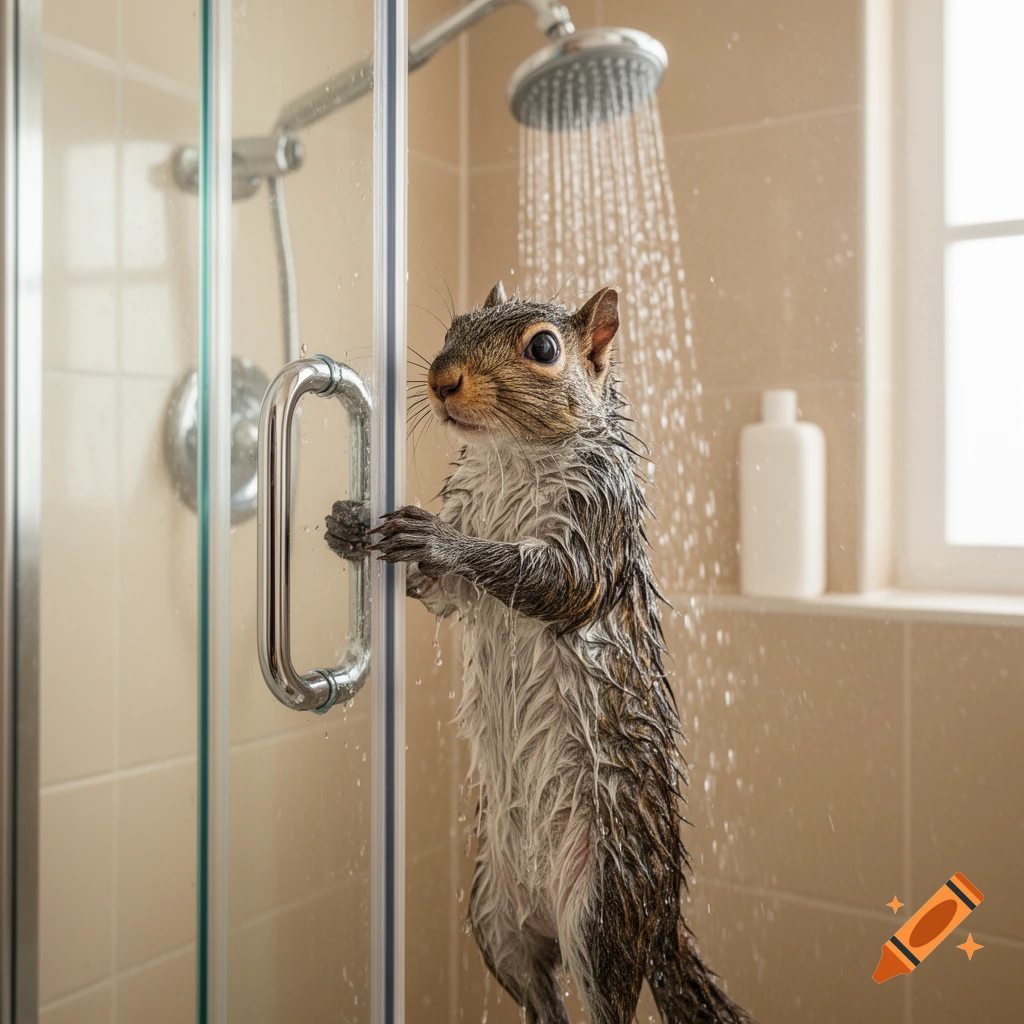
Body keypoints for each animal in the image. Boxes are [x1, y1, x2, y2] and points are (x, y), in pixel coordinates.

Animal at [325, 282, 753, 1024]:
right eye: (457, 325)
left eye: (545, 348)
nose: (442, 380)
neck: (511, 456)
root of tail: (663, 917)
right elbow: (439, 593)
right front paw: (353, 523)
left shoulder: (598, 522)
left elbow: (560, 582)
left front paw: (440, 539)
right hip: (492, 917)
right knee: (539, 994)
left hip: (602, 915)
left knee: (605, 1001)